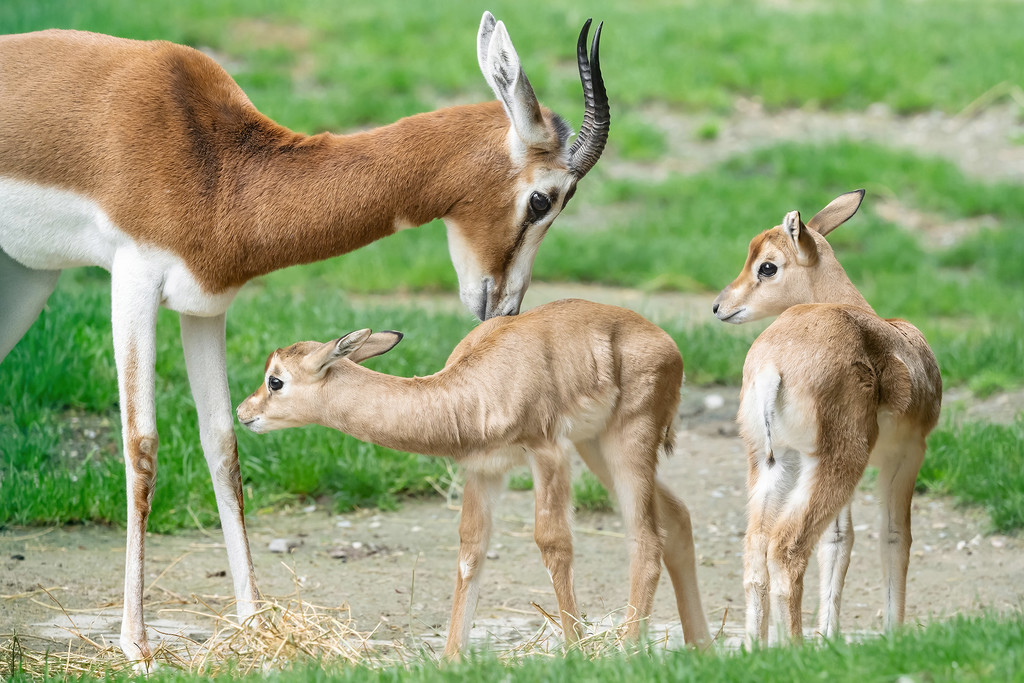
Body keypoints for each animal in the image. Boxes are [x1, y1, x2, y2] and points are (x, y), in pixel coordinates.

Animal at [0, 12, 609, 666]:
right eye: (542, 199)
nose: (506, 308)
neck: (215, 162)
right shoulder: (133, 281)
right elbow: (142, 449)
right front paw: (136, 646)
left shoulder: (205, 306)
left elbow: (224, 446)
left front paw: (252, 622)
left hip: (28, 276)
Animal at [236, 298, 711, 657]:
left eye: (275, 381)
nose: (243, 413)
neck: (474, 389)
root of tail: (666, 342)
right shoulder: (484, 471)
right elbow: (471, 553)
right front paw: (451, 659)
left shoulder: (547, 453)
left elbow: (553, 543)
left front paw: (576, 652)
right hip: (595, 447)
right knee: (677, 517)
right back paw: (700, 647)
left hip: (626, 443)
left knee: (646, 537)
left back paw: (629, 651)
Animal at [712, 190, 942, 645]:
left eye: (767, 265)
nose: (719, 306)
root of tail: (774, 362)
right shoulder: (907, 455)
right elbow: (894, 536)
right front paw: (892, 634)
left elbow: (838, 541)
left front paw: (831, 636)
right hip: (837, 463)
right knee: (787, 548)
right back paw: (794, 646)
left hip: (776, 463)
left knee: (757, 551)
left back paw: (758, 646)